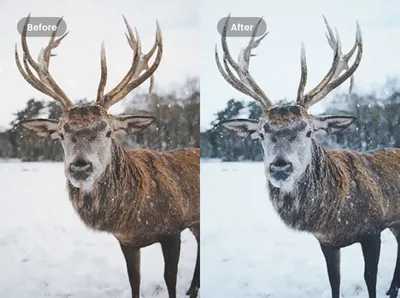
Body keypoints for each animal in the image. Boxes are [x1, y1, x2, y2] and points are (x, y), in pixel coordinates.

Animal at [15, 15, 200, 298]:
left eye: (108, 130)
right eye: (61, 133)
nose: (80, 168)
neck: (135, 215)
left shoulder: (173, 229)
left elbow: (169, 280)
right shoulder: (126, 241)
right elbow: (134, 280)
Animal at [216, 15, 400, 298]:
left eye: (309, 131)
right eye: (261, 133)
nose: (280, 168)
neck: (335, 216)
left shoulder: (373, 229)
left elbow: (369, 279)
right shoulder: (326, 241)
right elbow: (334, 280)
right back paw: (392, 288)